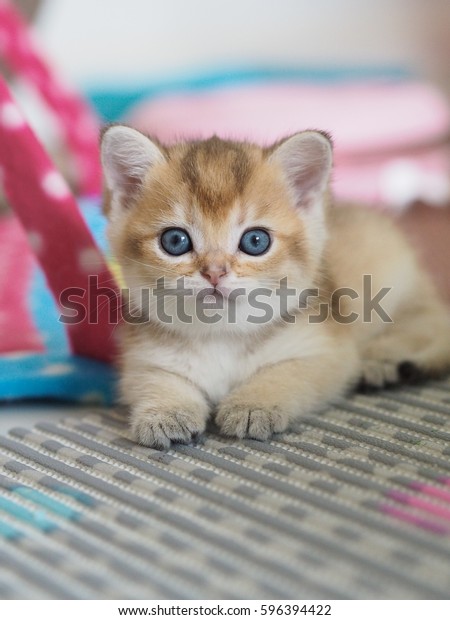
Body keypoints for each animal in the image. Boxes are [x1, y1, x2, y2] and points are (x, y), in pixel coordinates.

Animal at [101, 124, 450, 446]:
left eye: (255, 241)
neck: (221, 335)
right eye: (175, 241)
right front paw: (165, 411)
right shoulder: (143, 358)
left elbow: (287, 374)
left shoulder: (325, 352)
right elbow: (157, 380)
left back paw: (383, 360)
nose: (214, 272)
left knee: (427, 323)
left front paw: (253, 403)